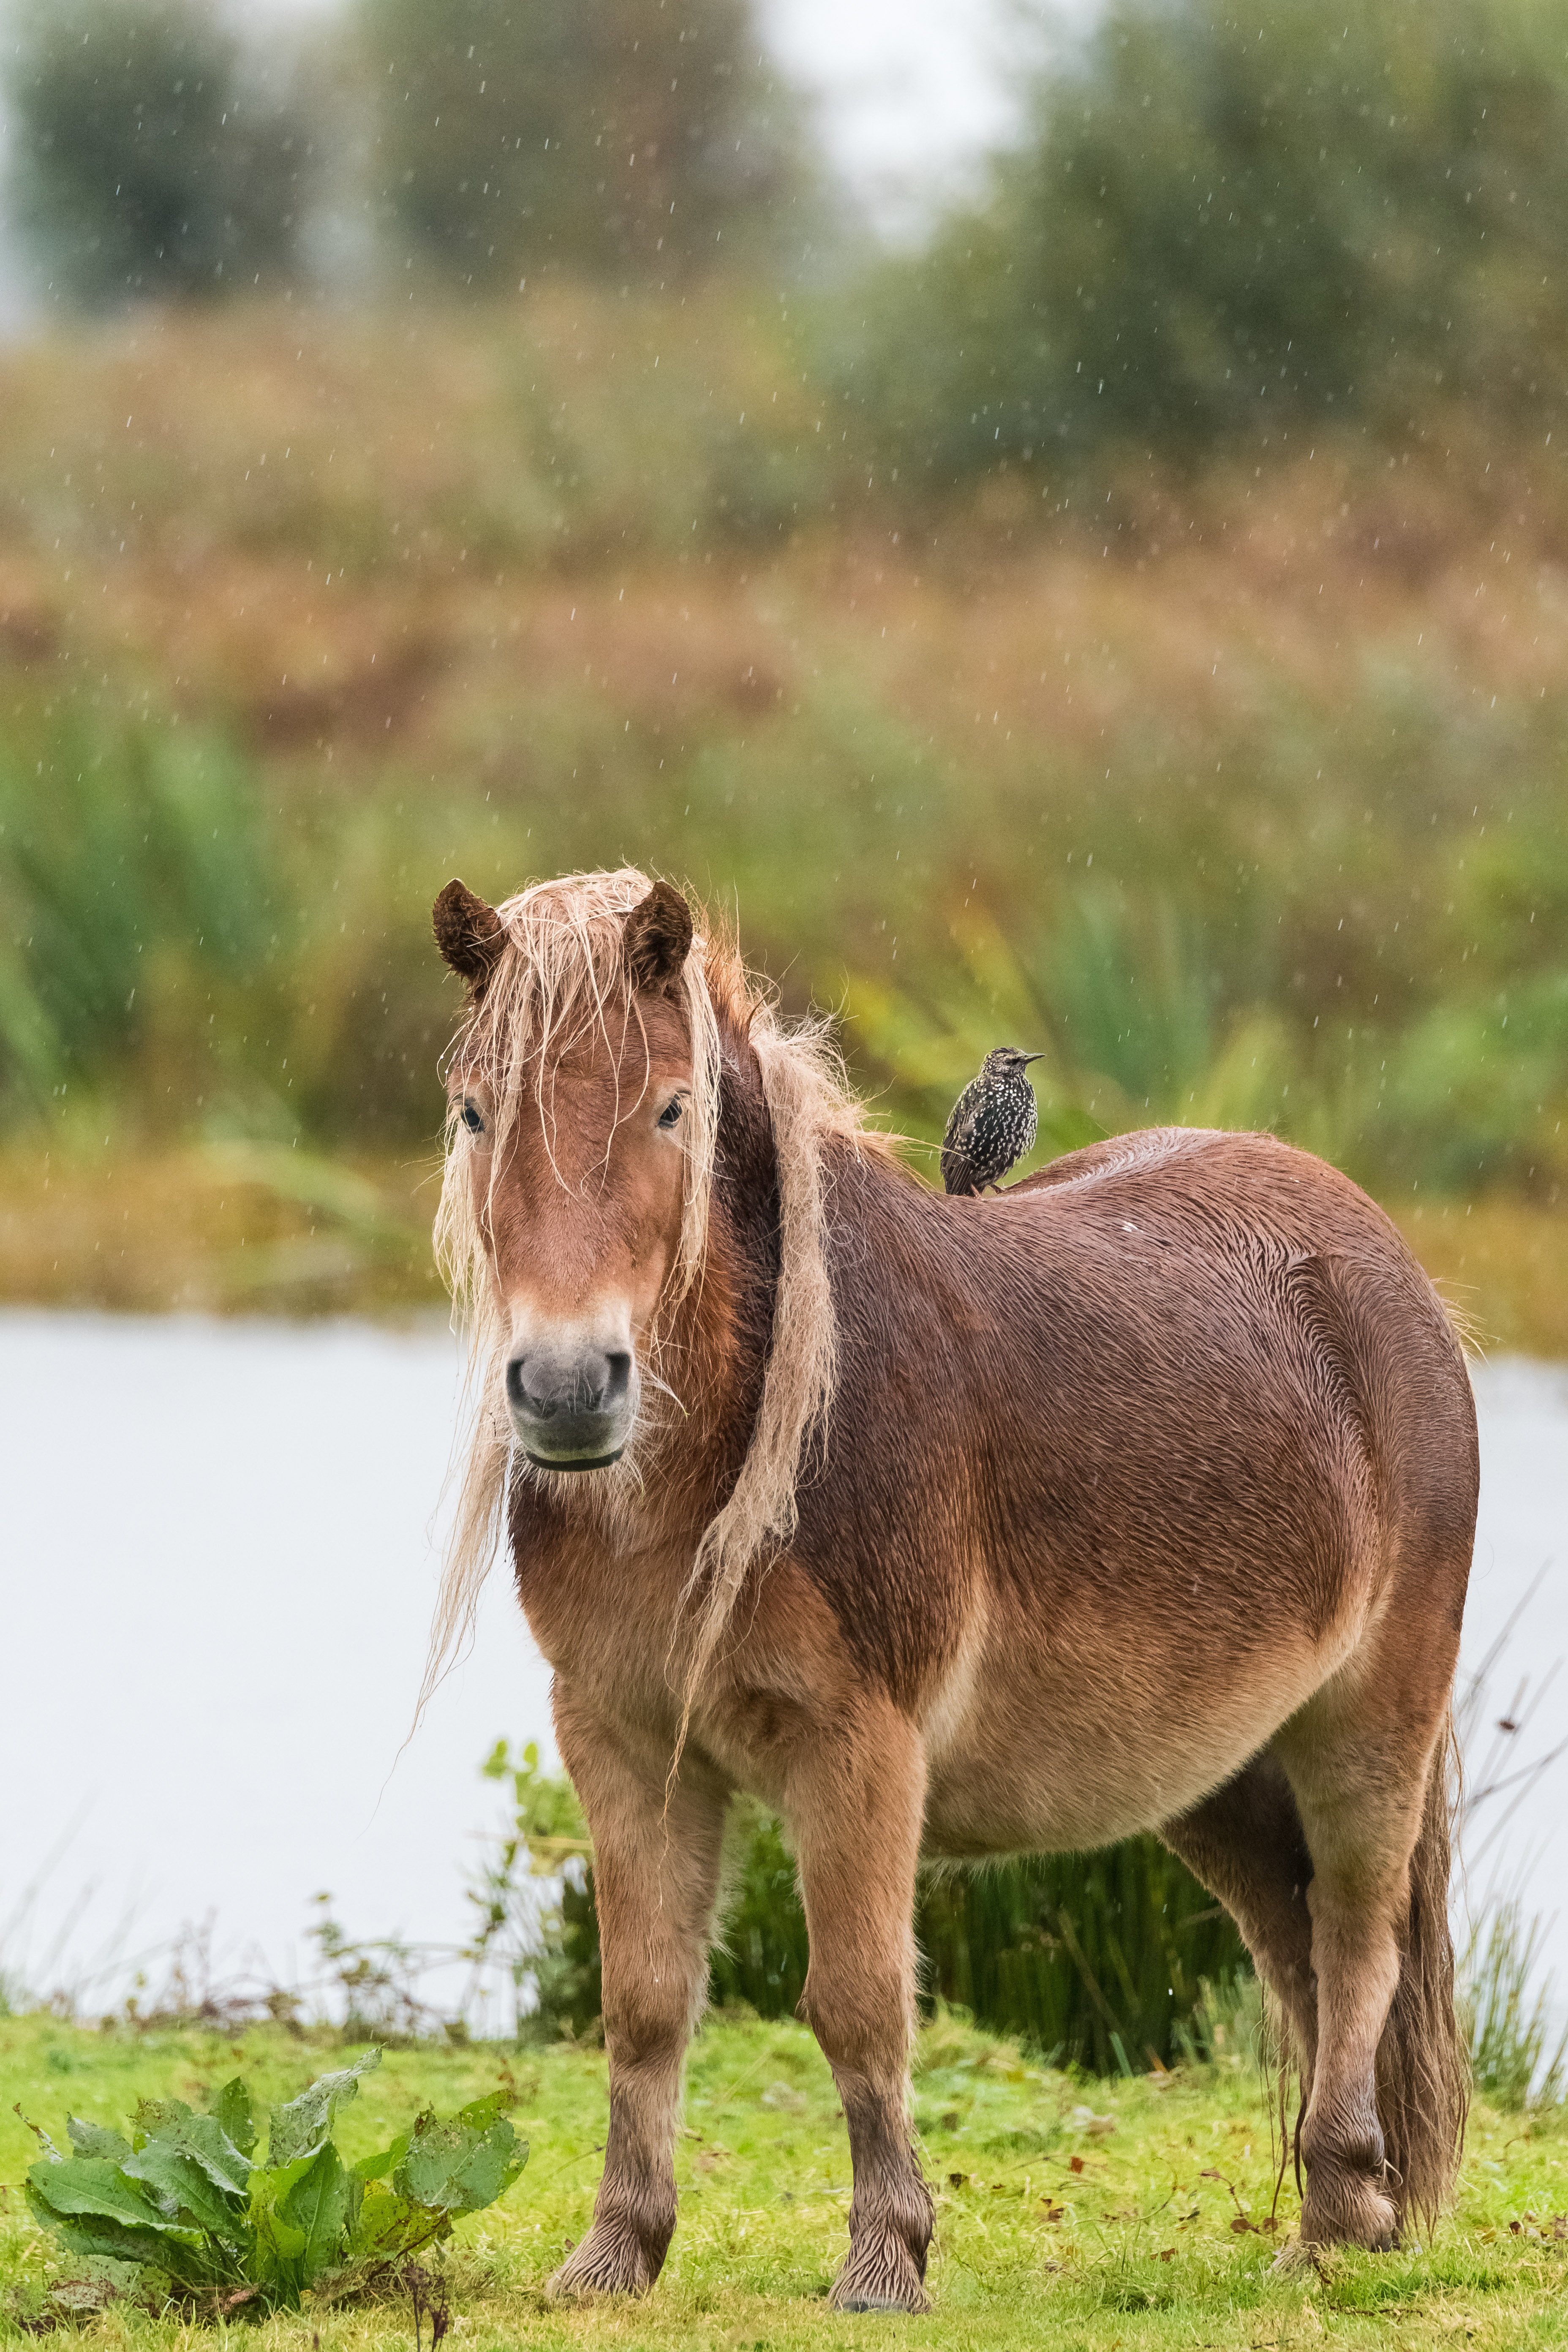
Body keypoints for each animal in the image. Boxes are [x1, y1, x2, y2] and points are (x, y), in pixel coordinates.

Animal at [427, 865, 1475, 2314]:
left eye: (671, 1107)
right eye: (475, 1109)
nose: (571, 1388)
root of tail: (1384, 1259)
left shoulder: (861, 1745)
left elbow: (859, 2001)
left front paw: (885, 2257)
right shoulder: (622, 1739)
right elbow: (642, 2002)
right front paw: (614, 2254)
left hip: (1372, 1717)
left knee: (1363, 1933)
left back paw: (1326, 2224)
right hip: (1216, 1771)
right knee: (1297, 1937)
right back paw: (1354, 2212)